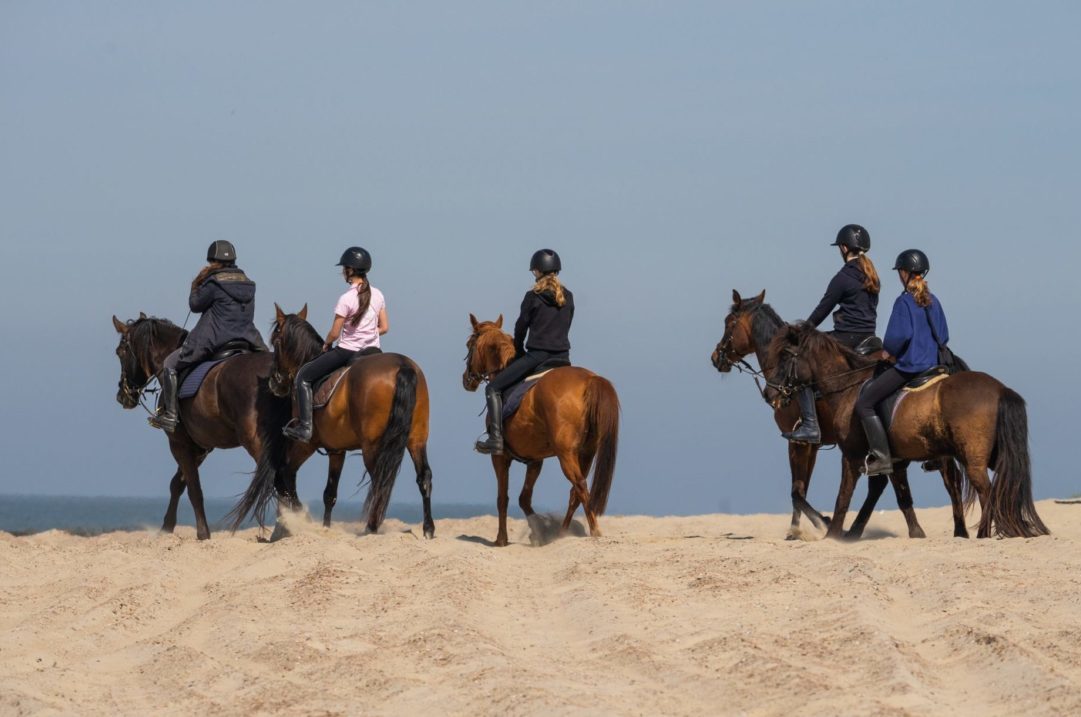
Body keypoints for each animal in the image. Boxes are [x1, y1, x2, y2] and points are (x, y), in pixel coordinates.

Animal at [112, 313, 298, 538]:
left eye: (120, 352)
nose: (122, 396)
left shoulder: (179, 443)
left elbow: (193, 488)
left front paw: (202, 533)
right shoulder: (201, 447)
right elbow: (178, 484)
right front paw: (166, 529)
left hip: (257, 442)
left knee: (278, 479)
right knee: (287, 478)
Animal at [229, 302, 434, 538]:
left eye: (276, 342)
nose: (275, 382)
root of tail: (403, 365)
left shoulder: (306, 443)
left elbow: (286, 473)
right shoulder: (337, 449)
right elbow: (329, 493)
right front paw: (325, 528)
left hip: (372, 446)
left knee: (380, 481)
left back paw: (371, 528)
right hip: (417, 439)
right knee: (423, 477)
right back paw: (428, 529)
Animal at [460, 313, 622, 545]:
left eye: (469, 345)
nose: (467, 380)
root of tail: (590, 379)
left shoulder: (500, 457)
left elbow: (503, 498)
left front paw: (502, 539)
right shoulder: (535, 460)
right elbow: (524, 499)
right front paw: (539, 533)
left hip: (566, 454)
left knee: (580, 486)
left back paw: (594, 532)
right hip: (586, 453)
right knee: (575, 493)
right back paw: (562, 534)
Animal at [704, 289, 968, 538]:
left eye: (729, 323)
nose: (716, 357)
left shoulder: (798, 442)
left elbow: (796, 490)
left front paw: (811, 525)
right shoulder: (813, 446)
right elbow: (802, 487)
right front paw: (801, 529)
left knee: (949, 478)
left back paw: (958, 529)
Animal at [765, 320, 1050, 538]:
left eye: (786, 357)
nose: (772, 393)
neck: (848, 387)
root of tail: (1000, 389)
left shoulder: (852, 457)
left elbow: (842, 498)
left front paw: (833, 534)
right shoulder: (895, 462)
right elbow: (903, 498)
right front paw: (916, 534)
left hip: (973, 461)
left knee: (985, 492)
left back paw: (981, 536)